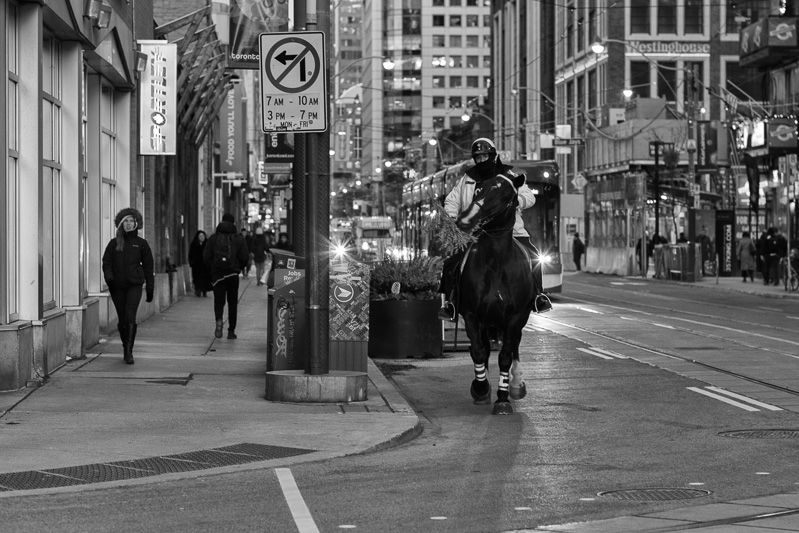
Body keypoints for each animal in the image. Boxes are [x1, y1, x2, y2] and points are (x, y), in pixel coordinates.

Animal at [454, 172, 540, 414]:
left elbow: (505, 356)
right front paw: (481, 388)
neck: (496, 262)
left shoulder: (516, 316)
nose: (465, 221)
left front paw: (503, 398)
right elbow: (478, 351)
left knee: (514, 347)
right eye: (478, 190)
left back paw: (516, 385)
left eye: (505, 196)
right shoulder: (472, 315)